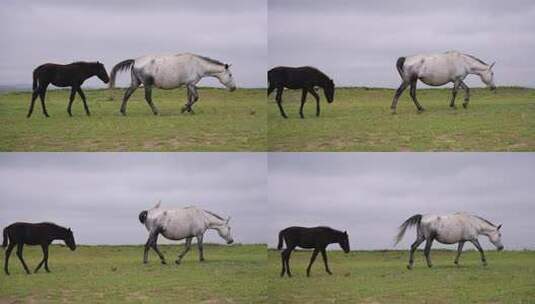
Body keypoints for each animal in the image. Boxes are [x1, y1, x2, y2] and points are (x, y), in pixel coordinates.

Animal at [109, 52, 237, 115]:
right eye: (230, 75)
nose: (234, 88)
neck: (197, 65)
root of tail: (135, 61)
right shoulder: (191, 84)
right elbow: (195, 98)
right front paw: (184, 109)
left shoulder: (188, 85)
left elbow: (189, 98)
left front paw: (190, 110)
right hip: (147, 84)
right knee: (148, 98)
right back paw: (156, 112)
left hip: (136, 82)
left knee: (127, 94)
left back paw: (123, 112)